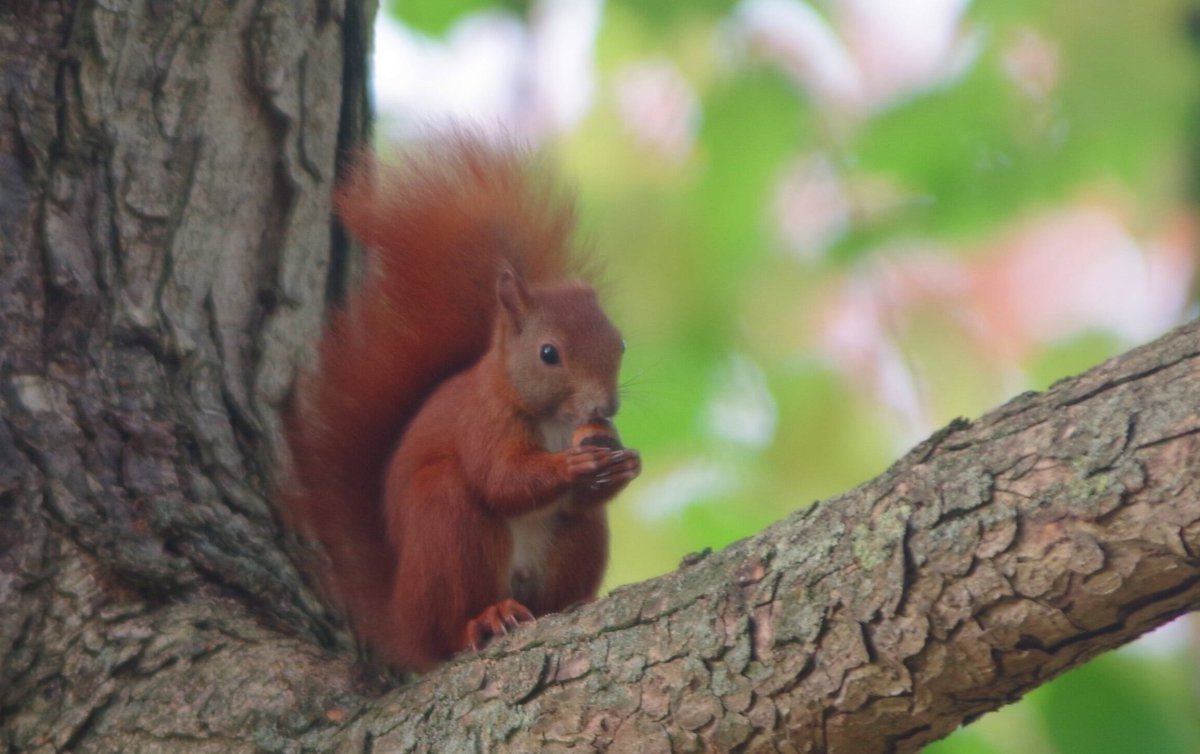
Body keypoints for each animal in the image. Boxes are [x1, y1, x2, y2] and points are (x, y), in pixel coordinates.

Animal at [282, 135, 643, 672]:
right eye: (548, 353)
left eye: (619, 343)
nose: (604, 408)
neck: (554, 421)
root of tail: (402, 622)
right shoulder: (483, 421)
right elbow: (500, 479)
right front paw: (570, 465)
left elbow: (580, 494)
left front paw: (627, 464)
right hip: (445, 524)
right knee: (449, 627)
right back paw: (483, 619)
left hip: (577, 541)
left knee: (571, 544)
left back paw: (571, 605)